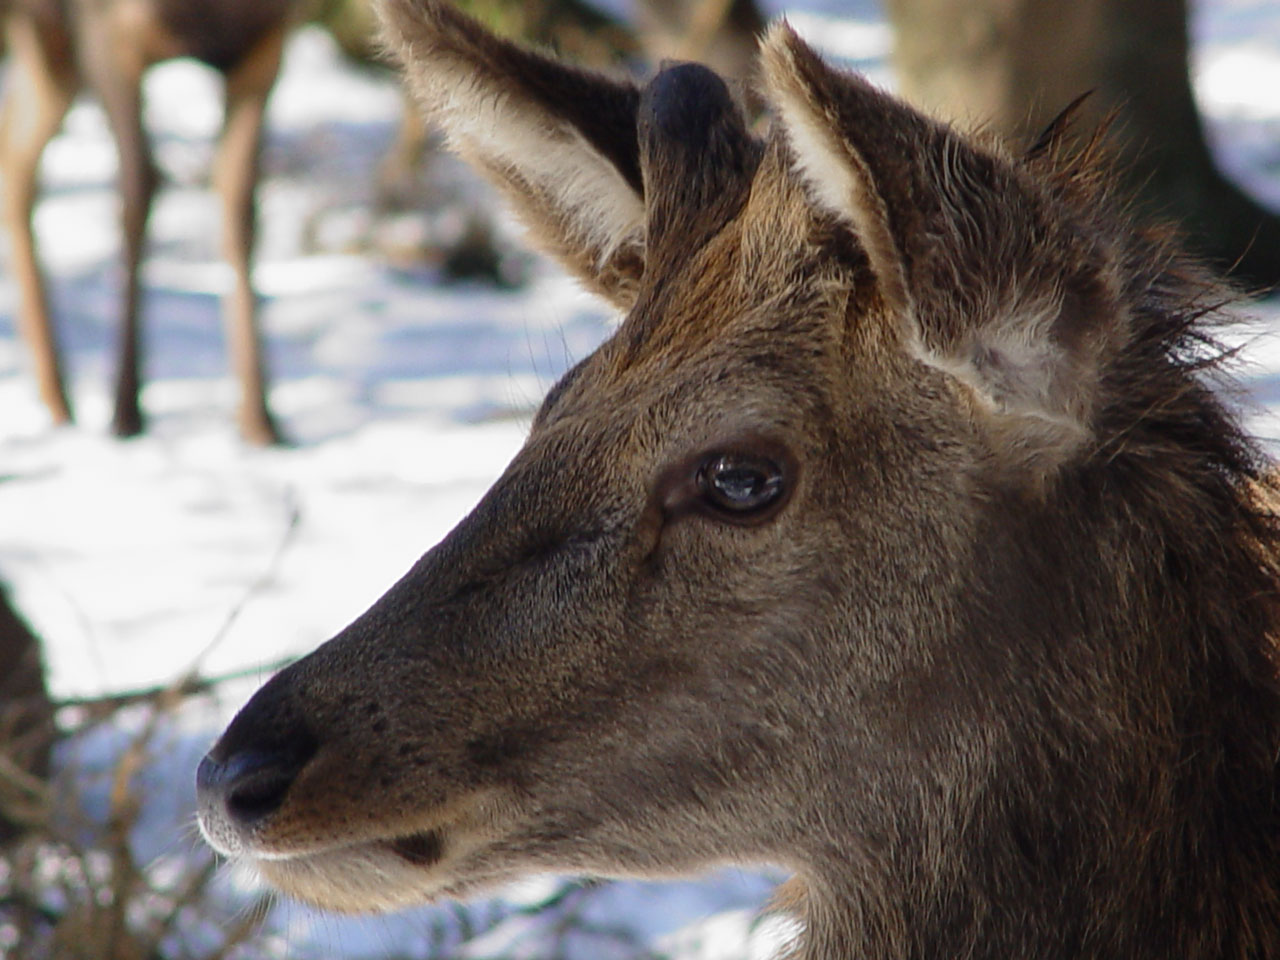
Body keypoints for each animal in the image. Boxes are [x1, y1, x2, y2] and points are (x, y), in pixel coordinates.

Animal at [0, 0, 293, 442]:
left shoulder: (267, 42)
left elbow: (240, 205)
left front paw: (260, 421)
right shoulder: (109, 35)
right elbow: (139, 189)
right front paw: (125, 412)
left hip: (50, 47)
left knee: (15, 158)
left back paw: (56, 397)